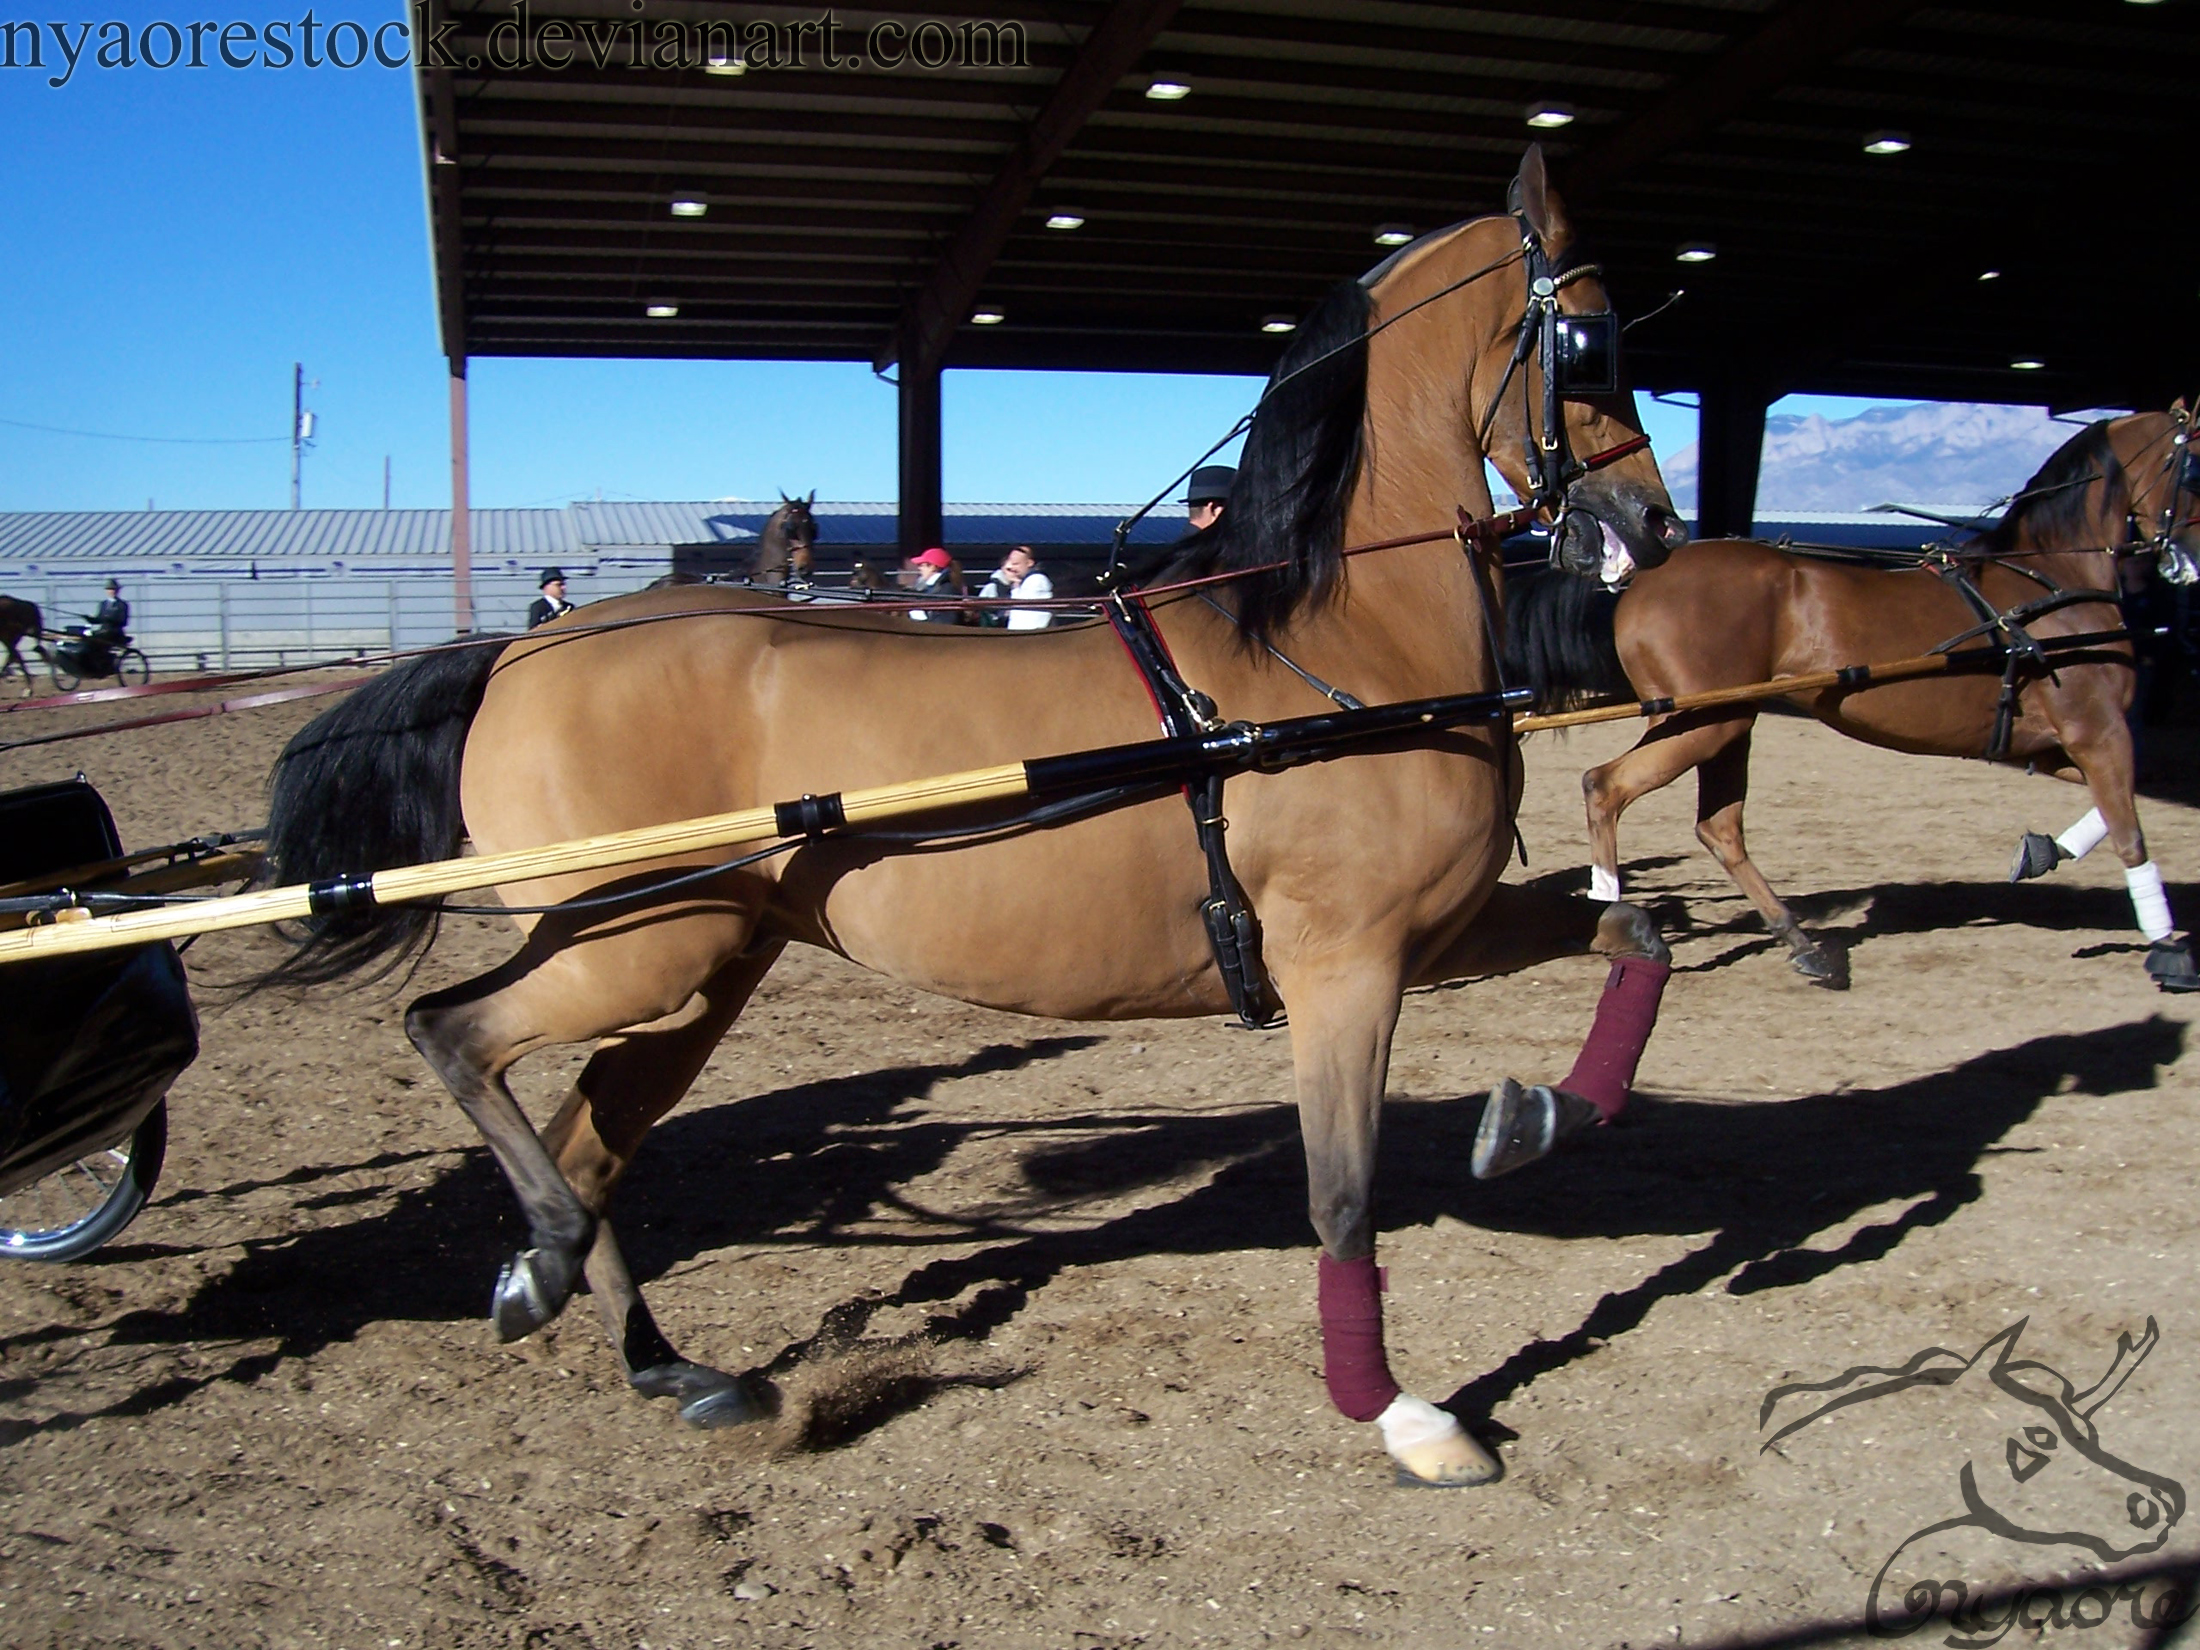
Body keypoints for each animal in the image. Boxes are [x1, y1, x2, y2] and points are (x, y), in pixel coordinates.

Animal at [249, 155, 1680, 1496]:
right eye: (1590, 338)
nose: (1655, 525)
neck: (1332, 646)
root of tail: (512, 652)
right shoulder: (1346, 964)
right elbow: (1341, 1193)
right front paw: (1397, 1414)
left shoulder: (1441, 932)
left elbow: (1637, 940)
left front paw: (1536, 1116)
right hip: (633, 945)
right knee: (456, 1038)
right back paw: (542, 1269)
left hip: (701, 960)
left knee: (591, 1133)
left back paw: (670, 1367)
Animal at [1504, 407, 2200, 990]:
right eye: (2193, 467)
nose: (2188, 563)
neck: (2051, 586)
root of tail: (1636, 581)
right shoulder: (2097, 732)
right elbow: (2130, 831)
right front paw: (2168, 947)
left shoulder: (2056, 744)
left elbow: (2111, 813)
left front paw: (2042, 852)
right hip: (1704, 721)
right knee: (1605, 786)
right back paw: (1615, 914)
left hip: (1724, 722)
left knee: (1718, 827)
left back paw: (1802, 942)